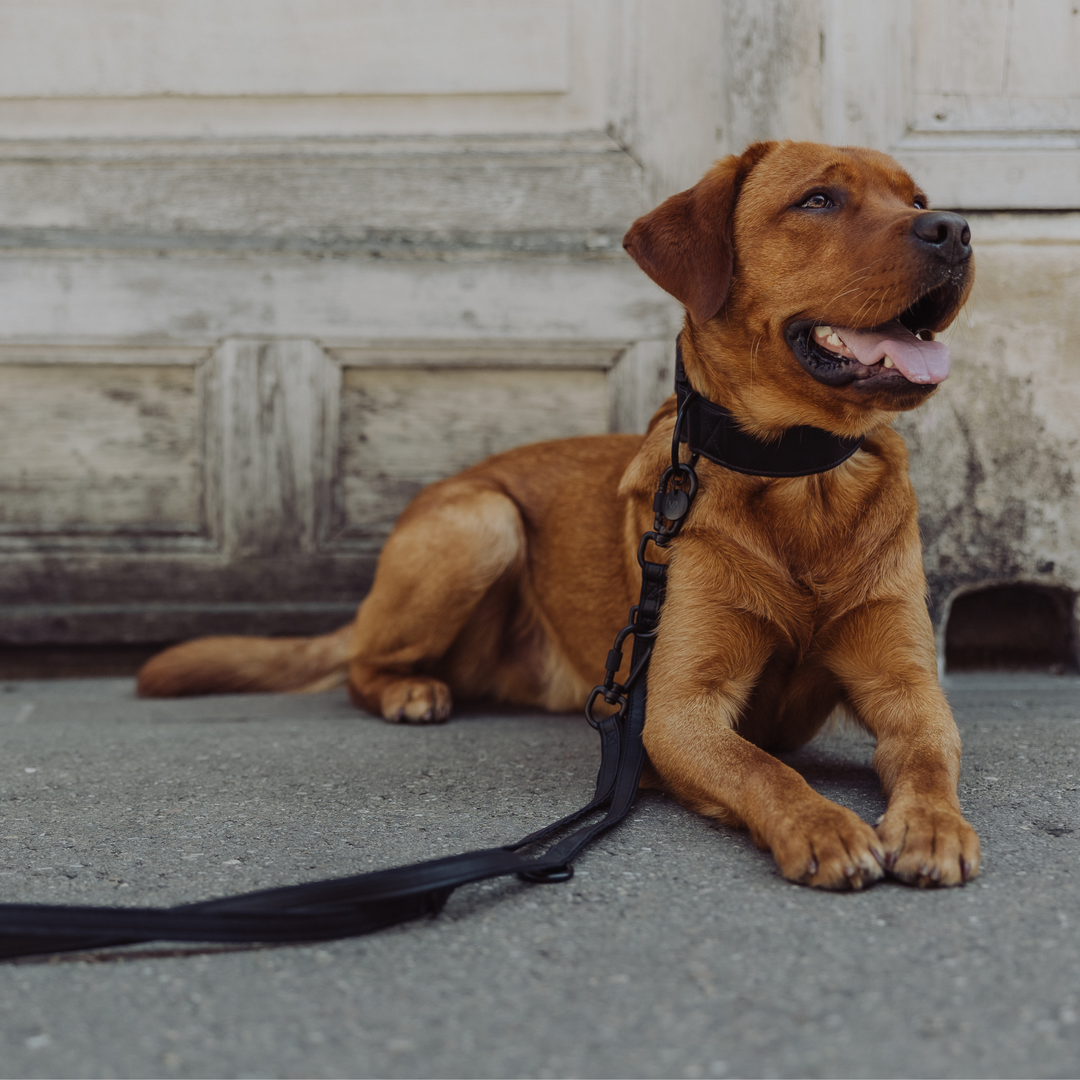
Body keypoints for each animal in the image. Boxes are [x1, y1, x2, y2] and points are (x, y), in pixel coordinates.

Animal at [139, 139, 984, 889]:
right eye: (819, 200)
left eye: (915, 199)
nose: (955, 228)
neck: (801, 480)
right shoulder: (679, 711)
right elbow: (764, 768)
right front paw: (822, 825)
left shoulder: (906, 685)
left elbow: (928, 754)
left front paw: (933, 825)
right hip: (482, 522)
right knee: (359, 665)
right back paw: (410, 689)